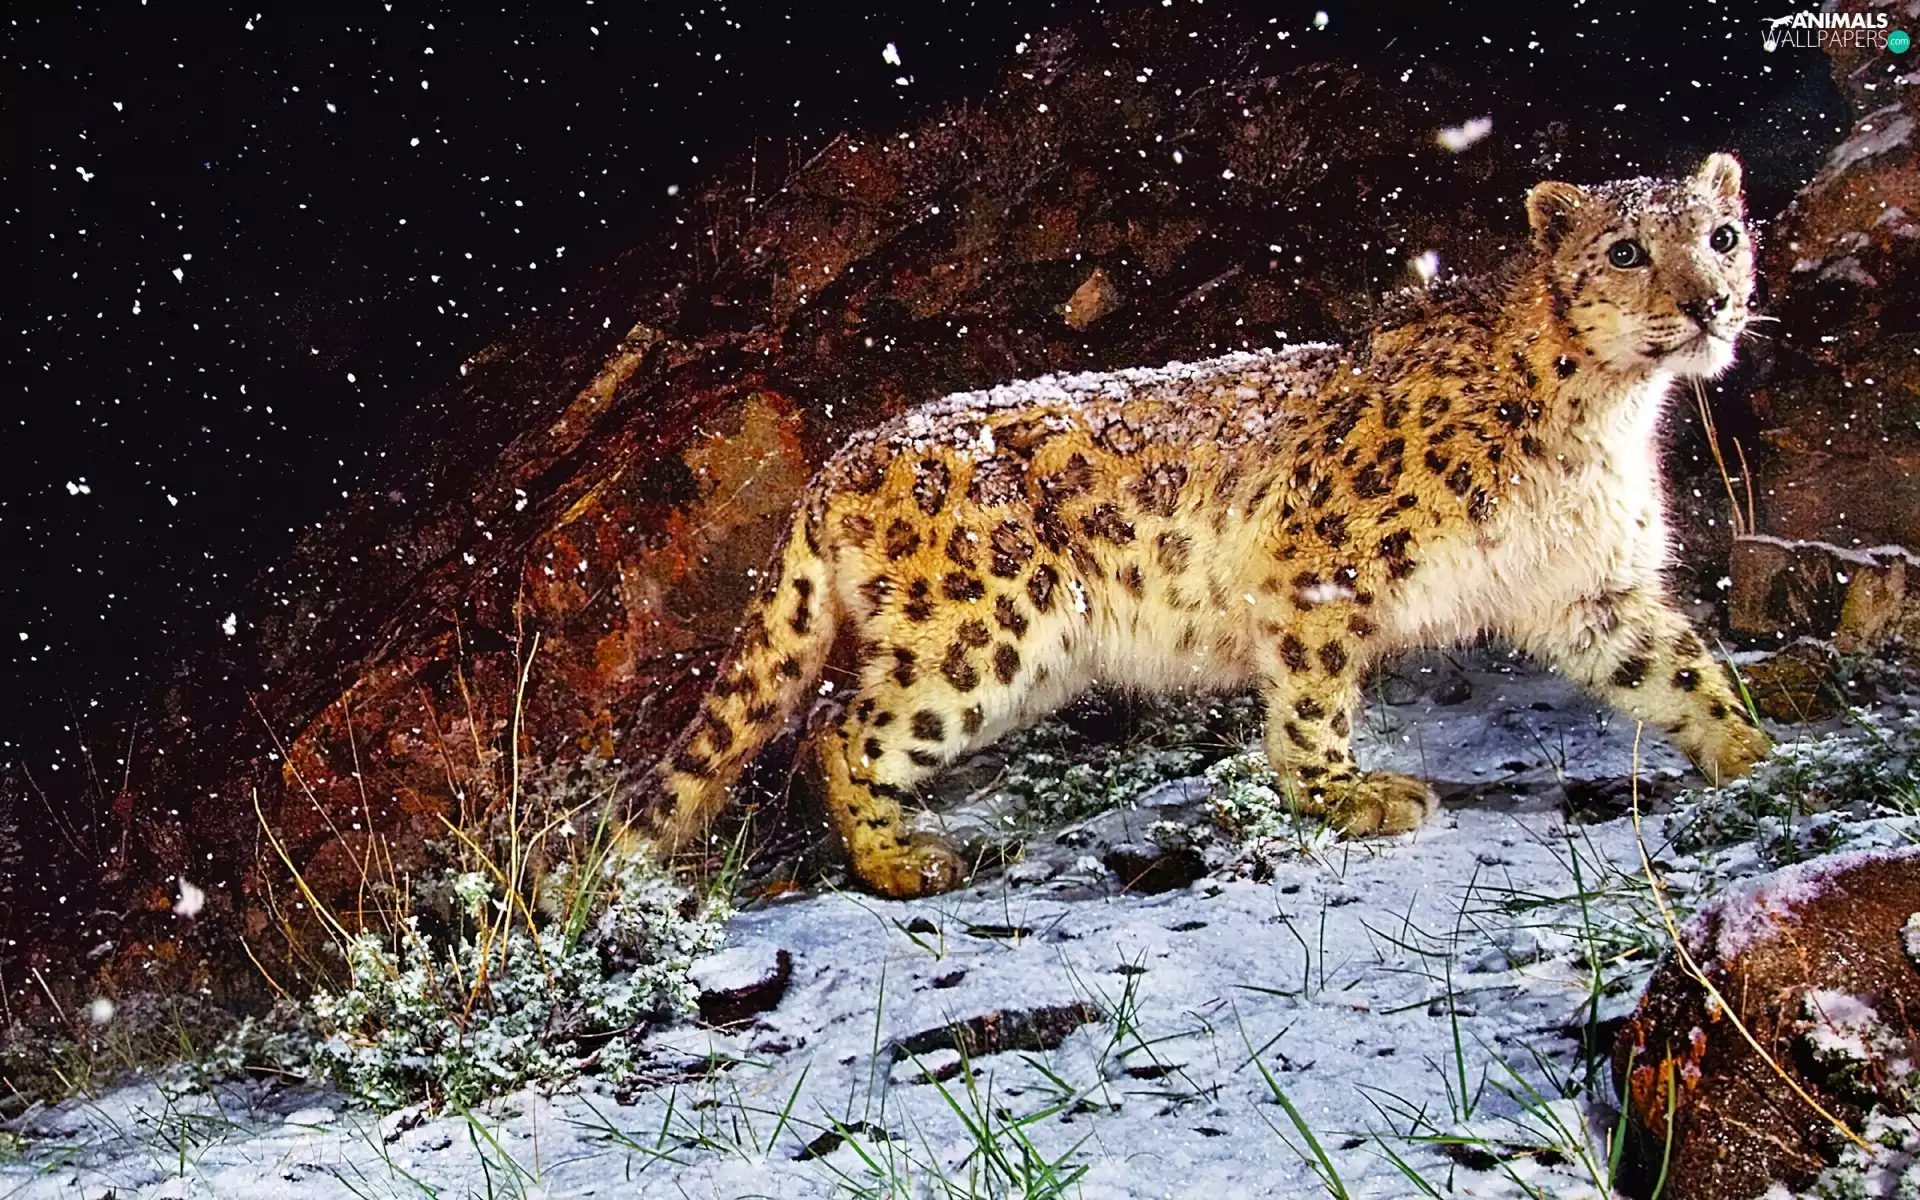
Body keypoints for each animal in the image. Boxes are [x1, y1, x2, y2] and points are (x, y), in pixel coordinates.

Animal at [639, 152, 1772, 899]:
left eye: (1723, 236)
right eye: (1625, 249)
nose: (1711, 302)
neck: (1608, 419)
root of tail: (845, 455)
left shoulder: (1587, 587)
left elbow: (1678, 669)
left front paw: (1759, 757)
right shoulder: (1321, 566)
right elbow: (1312, 701)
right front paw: (1345, 797)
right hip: (986, 638)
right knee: (838, 728)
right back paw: (900, 861)